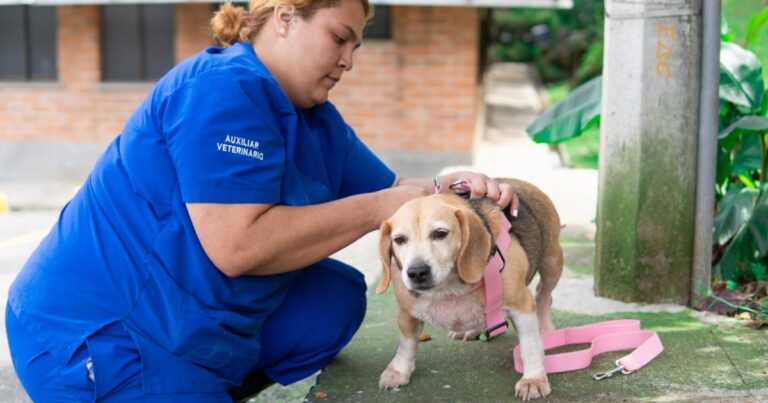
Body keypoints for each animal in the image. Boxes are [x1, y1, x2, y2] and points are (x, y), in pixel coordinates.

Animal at [376, 179, 564, 400]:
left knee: (544, 295)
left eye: (440, 234)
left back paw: (545, 327)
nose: (417, 272)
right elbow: (406, 345)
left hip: (552, 264)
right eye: (399, 239)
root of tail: (518, 182)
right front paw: (399, 371)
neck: (448, 288)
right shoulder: (407, 313)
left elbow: (530, 346)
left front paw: (533, 379)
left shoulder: (522, 307)